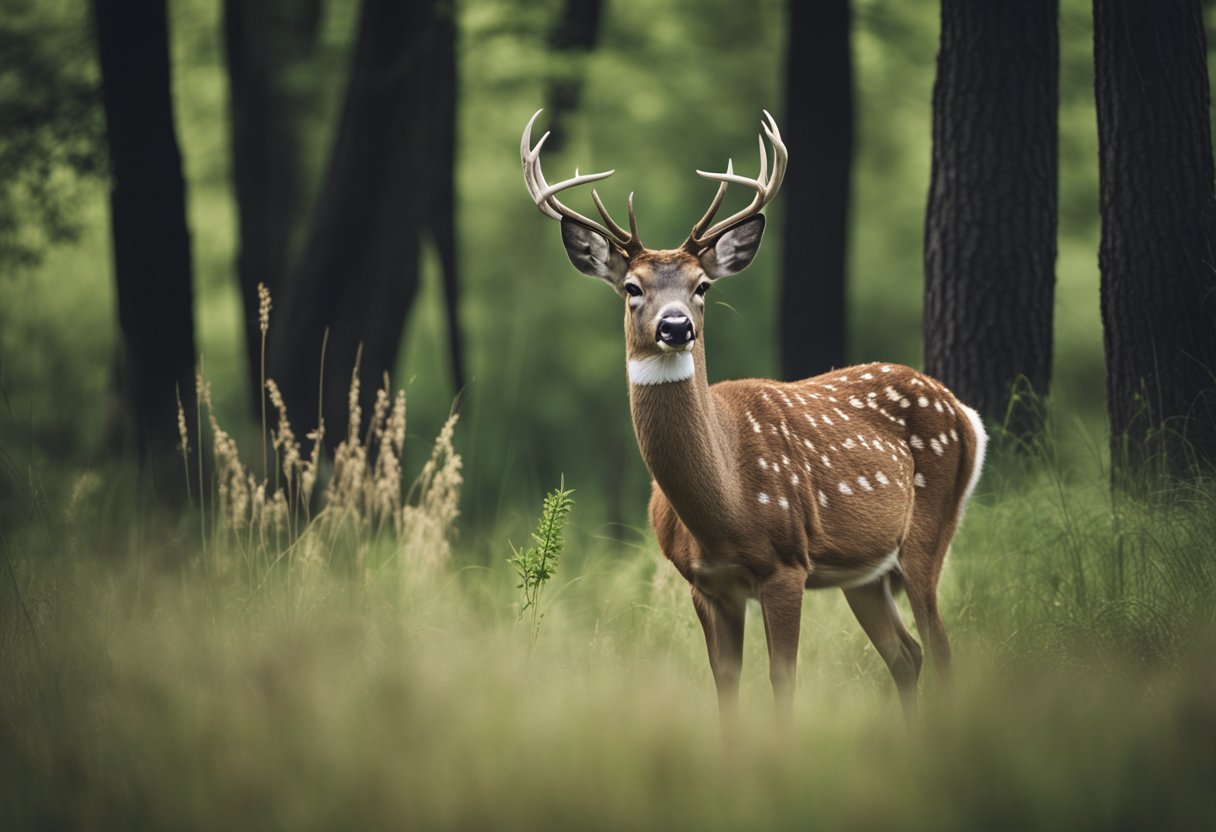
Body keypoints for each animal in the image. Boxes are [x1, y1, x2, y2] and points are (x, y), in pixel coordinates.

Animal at [518, 107, 982, 724]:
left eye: (702, 286)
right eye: (632, 287)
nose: (675, 326)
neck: (726, 504)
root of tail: (963, 410)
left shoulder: (786, 565)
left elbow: (782, 679)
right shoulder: (705, 583)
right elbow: (726, 683)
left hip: (929, 531)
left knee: (943, 648)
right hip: (866, 572)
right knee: (907, 654)